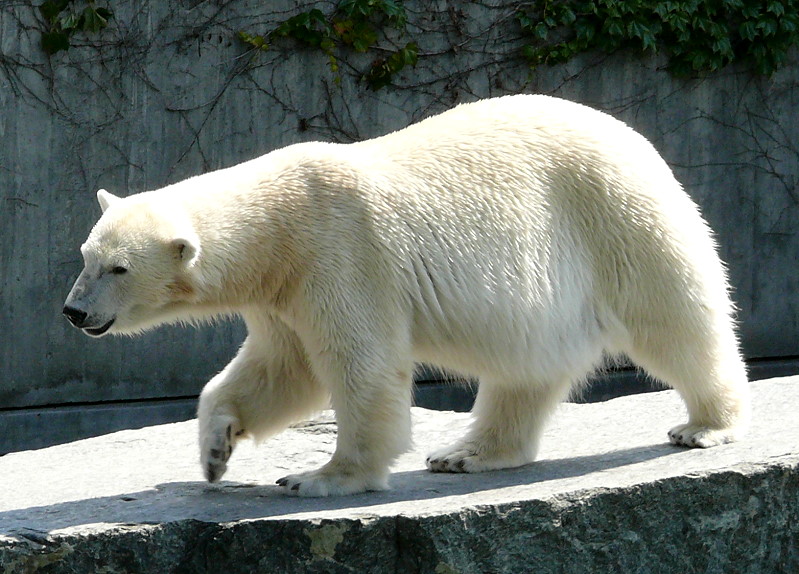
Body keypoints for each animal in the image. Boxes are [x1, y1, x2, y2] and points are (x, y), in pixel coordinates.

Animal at [62, 95, 752, 500]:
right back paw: (467, 453)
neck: (278, 221)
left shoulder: (339, 254)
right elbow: (281, 369)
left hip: (617, 218)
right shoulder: (284, 290)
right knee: (525, 367)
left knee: (675, 320)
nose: (74, 311)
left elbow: (359, 367)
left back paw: (705, 425)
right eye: (85, 257)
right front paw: (214, 450)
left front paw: (320, 476)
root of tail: (638, 140)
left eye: (118, 268)